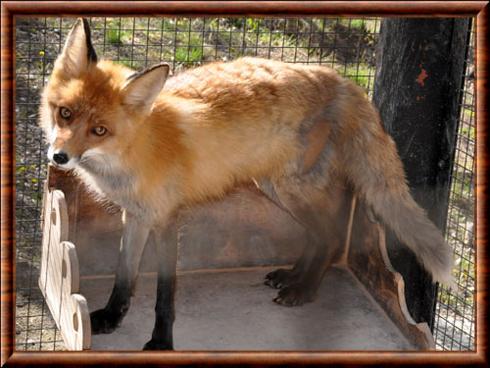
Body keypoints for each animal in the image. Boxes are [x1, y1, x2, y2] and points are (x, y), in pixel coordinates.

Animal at [40, 18, 454, 350]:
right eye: (65, 113)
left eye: (99, 130)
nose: (59, 157)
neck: (134, 150)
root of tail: (338, 78)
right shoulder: (137, 216)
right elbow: (123, 278)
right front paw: (111, 318)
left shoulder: (167, 220)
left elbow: (163, 297)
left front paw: (161, 342)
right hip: (275, 187)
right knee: (321, 235)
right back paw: (293, 276)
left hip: (292, 189)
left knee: (334, 234)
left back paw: (304, 290)